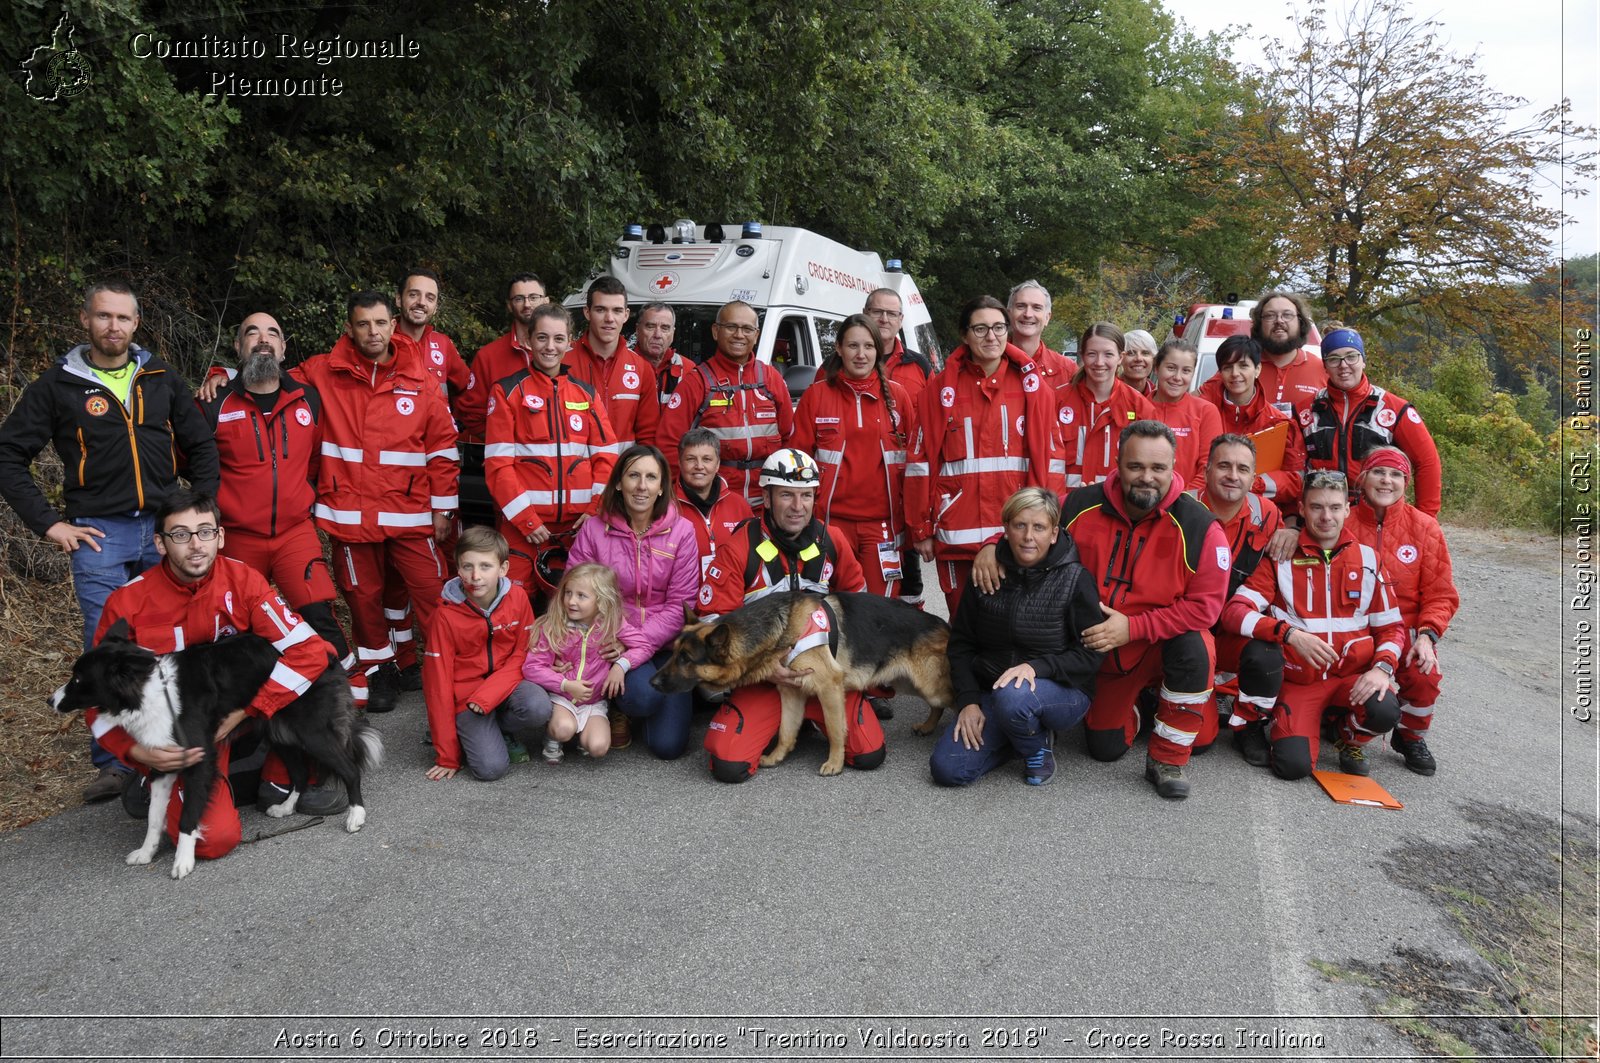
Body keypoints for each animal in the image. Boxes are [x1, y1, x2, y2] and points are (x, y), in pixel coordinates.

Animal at [51, 624, 382, 877]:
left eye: (78, 679)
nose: (49, 700)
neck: (147, 691)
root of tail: (326, 652)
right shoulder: (163, 764)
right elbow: (154, 817)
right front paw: (147, 852)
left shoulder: (199, 761)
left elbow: (187, 817)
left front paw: (183, 861)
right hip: (279, 731)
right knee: (300, 773)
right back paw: (287, 807)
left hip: (311, 733)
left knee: (349, 769)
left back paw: (356, 815)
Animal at [656, 589, 953, 771]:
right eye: (674, 653)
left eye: (686, 658)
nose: (653, 683)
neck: (783, 627)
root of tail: (945, 625)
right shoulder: (792, 692)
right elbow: (787, 732)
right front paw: (777, 756)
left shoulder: (829, 688)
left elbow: (835, 730)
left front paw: (835, 763)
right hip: (908, 683)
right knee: (938, 706)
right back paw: (928, 726)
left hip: (929, 685)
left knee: (953, 701)